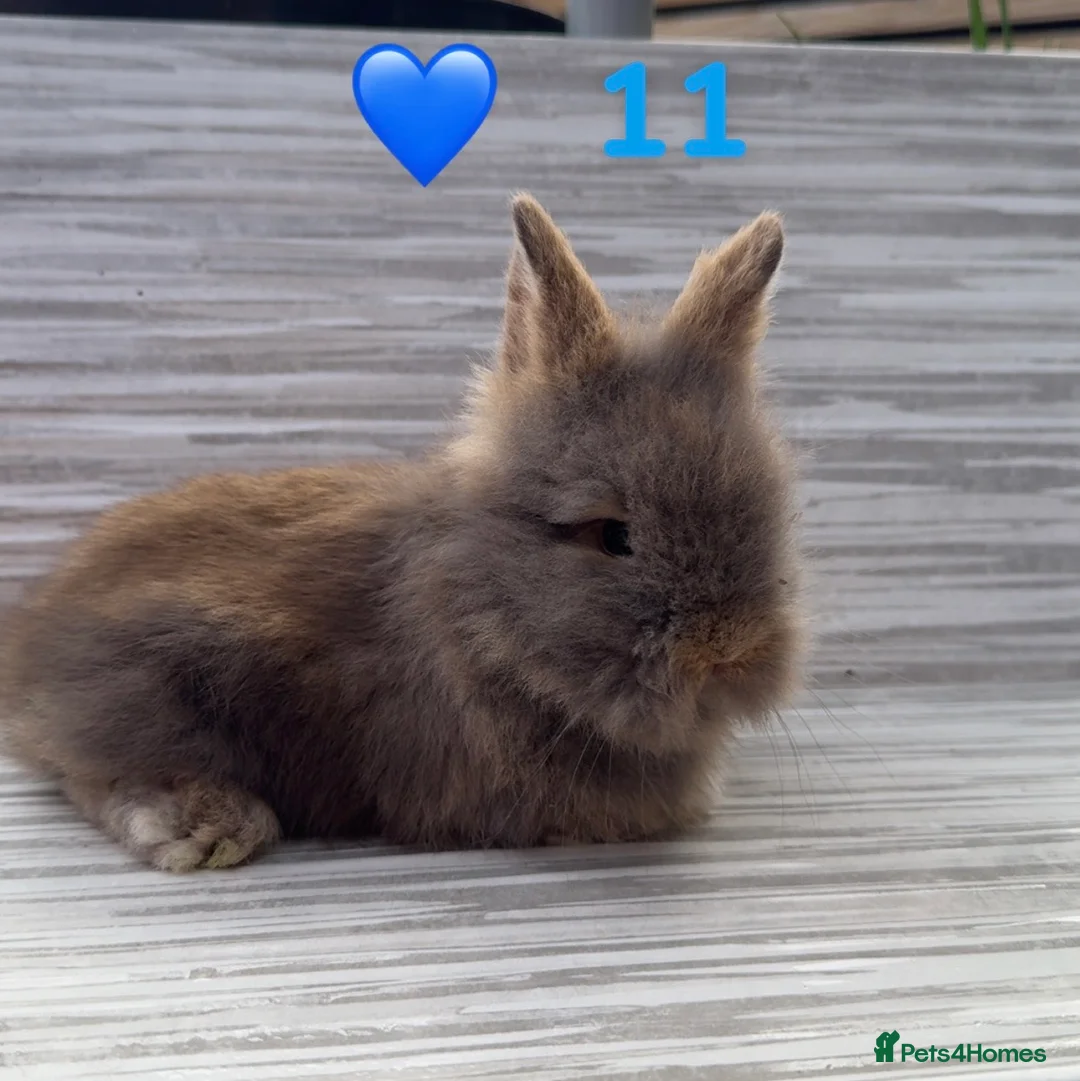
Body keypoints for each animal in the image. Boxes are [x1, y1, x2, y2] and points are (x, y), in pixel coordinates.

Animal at [0, 193, 805, 872]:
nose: (726, 651)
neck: (482, 621)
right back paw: (211, 829)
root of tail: (32, 643)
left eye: (770, 519)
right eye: (611, 536)